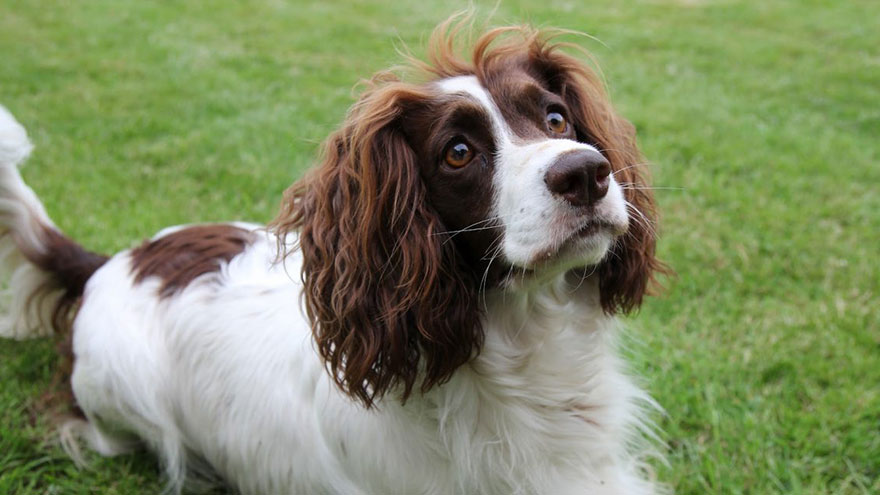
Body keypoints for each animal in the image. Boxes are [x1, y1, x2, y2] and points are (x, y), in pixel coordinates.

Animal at [0, 19, 668, 495]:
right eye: (457, 152)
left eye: (556, 116)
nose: (585, 172)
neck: (530, 355)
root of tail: (110, 264)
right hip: (120, 398)